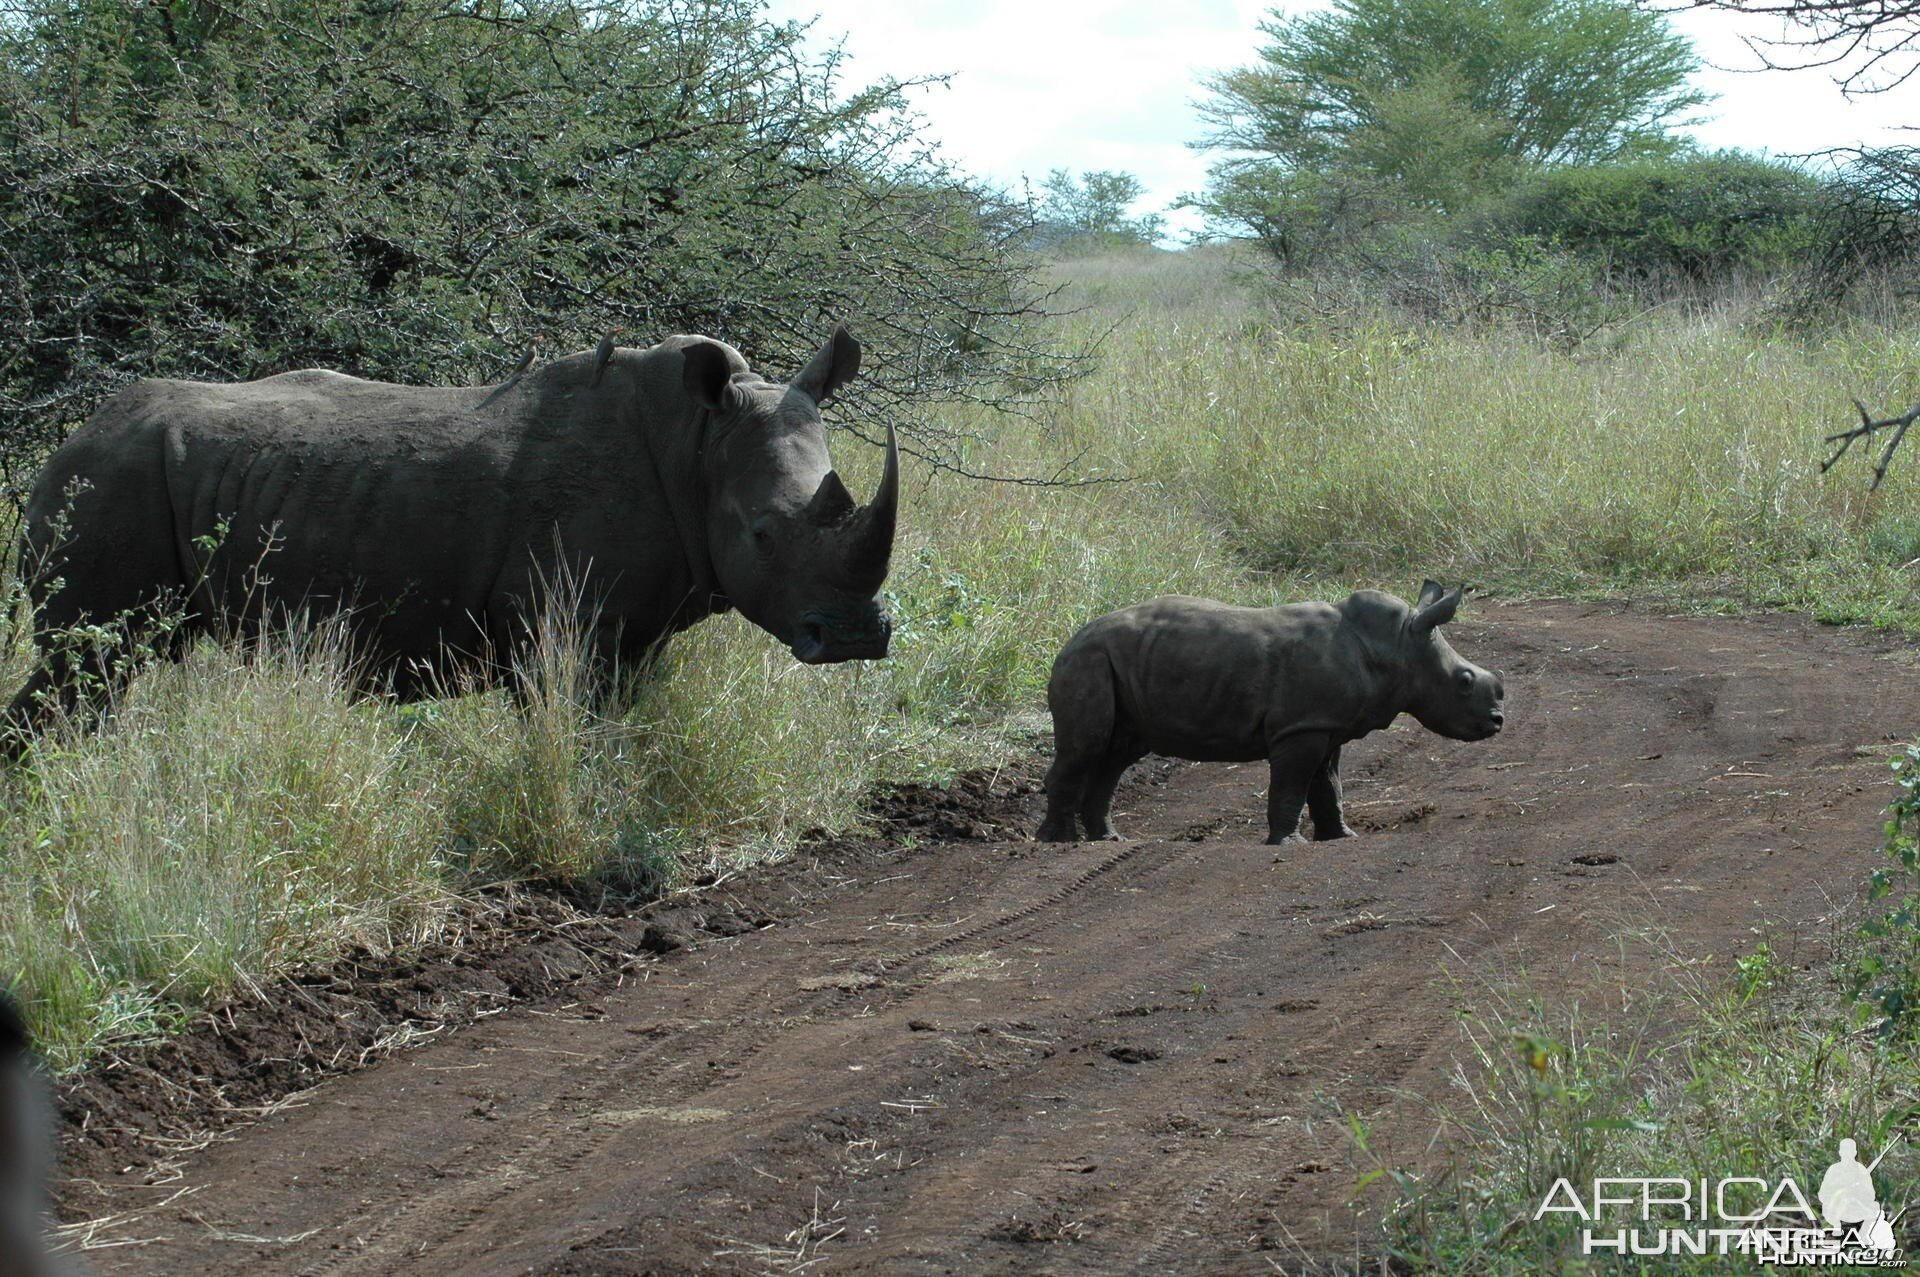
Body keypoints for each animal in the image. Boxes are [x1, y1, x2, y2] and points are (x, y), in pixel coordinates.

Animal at [5, 324, 898, 733]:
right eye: (761, 536)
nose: (855, 637)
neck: (696, 447)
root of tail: (63, 443)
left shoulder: (635, 626)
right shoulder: (556, 621)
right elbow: (572, 728)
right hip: (108, 481)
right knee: (91, 665)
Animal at [1036, 579, 1497, 844]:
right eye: (1464, 681)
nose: (1497, 721)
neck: (1398, 644)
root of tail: (1071, 639)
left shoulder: (1325, 724)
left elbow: (1328, 784)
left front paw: (1340, 837)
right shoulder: (1301, 727)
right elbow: (1293, 783)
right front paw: (1289, 843)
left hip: (1117, 662)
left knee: (1116, 754)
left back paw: (1108, 839)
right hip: (1088, 660)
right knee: (1088, 746)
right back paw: (1060, 842)